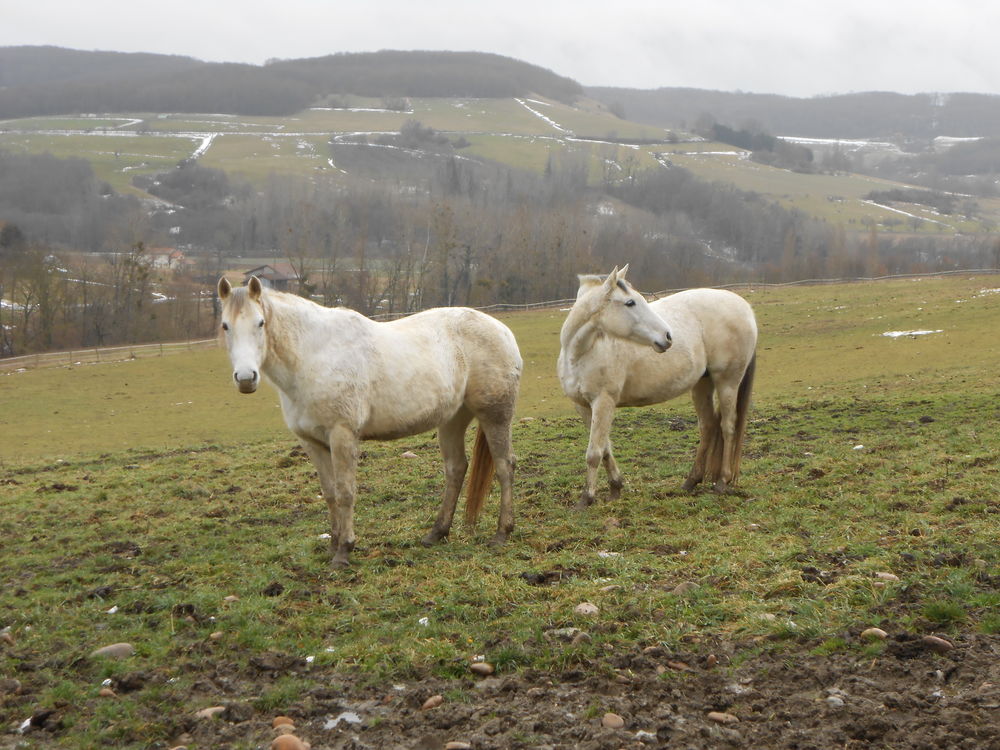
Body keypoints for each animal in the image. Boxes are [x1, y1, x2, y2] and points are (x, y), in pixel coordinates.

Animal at [217, 276, 523, 567]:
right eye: (225, 326)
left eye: (260, 323)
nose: (246, 378)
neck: (313, 358)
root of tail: (503, 330)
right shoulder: (312, 442)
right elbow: (330, 493)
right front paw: (333, 544)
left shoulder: (342, 435)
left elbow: (345, 492)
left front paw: (344, 551)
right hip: (452, 420)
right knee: (456, 469)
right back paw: (437, 533)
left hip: (495, 415)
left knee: (504, 466)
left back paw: (502, 533)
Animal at [557, 265, 757, 505]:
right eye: (630, 302)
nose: (668, 336)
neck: (580, 351)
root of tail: (745, 308)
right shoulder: (583, 406)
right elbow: (604, 448)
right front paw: (615, 487)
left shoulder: (603, 402)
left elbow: (594, 453)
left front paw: (586, 499)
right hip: (702, 383)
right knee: (708, 426)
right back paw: (691, 481)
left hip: (727, 382)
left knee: (728, 427)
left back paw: (722, 482)